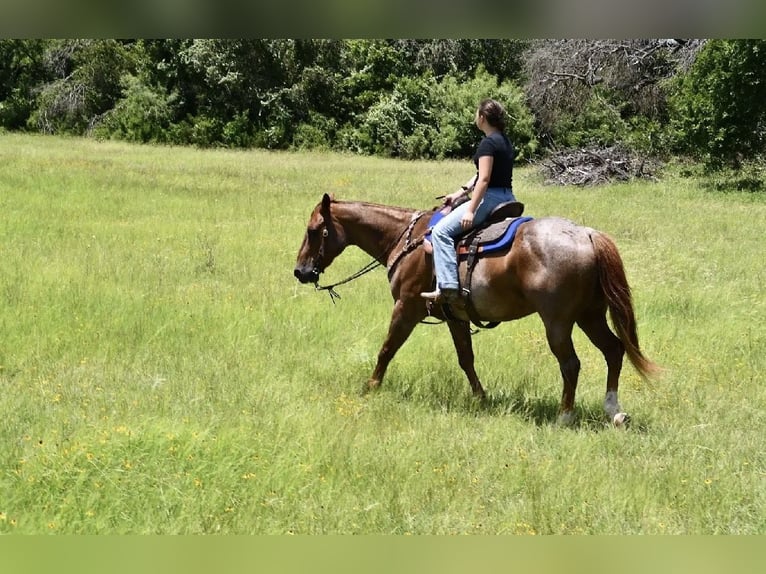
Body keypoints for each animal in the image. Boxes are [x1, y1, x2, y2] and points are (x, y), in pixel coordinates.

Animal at [293, 193, 659, 426]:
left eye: (313, 231)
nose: (300, 271)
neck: (406, 240)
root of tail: (586, 234)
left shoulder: (407, 308)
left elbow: (387, 349)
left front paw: (370, 387)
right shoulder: (455, 317)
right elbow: (466, 359)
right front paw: (481, 398)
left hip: (558, 322)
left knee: (571, 364)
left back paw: (564, 416)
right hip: (590, 316)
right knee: (614, 350)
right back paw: (614, 411)